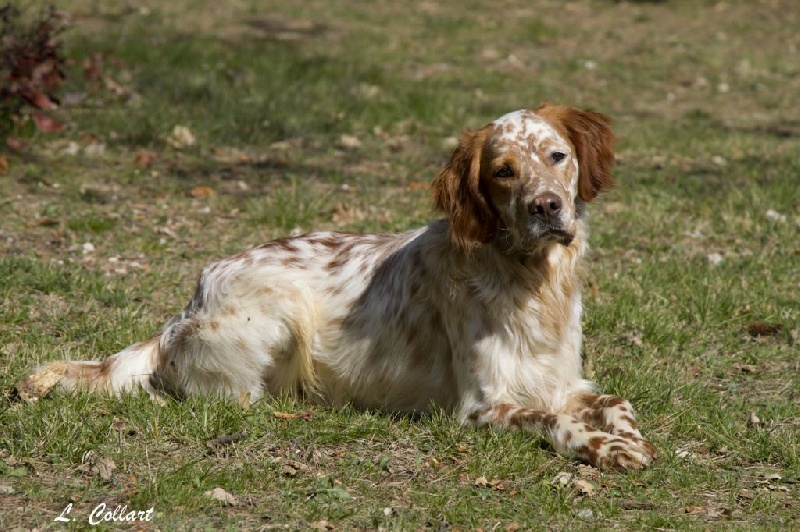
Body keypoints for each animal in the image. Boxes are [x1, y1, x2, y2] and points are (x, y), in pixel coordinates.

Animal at [20, 104, 656, 470]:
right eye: (503, 171)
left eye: (558, 156)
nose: (546, 206)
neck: (530, 279)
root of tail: (185, 307)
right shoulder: (482, 406)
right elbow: (553, 421)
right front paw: (605, 447)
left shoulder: (562, 381)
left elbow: (615, 400)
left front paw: (629, 437)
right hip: (281, 311)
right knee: (208, 395)